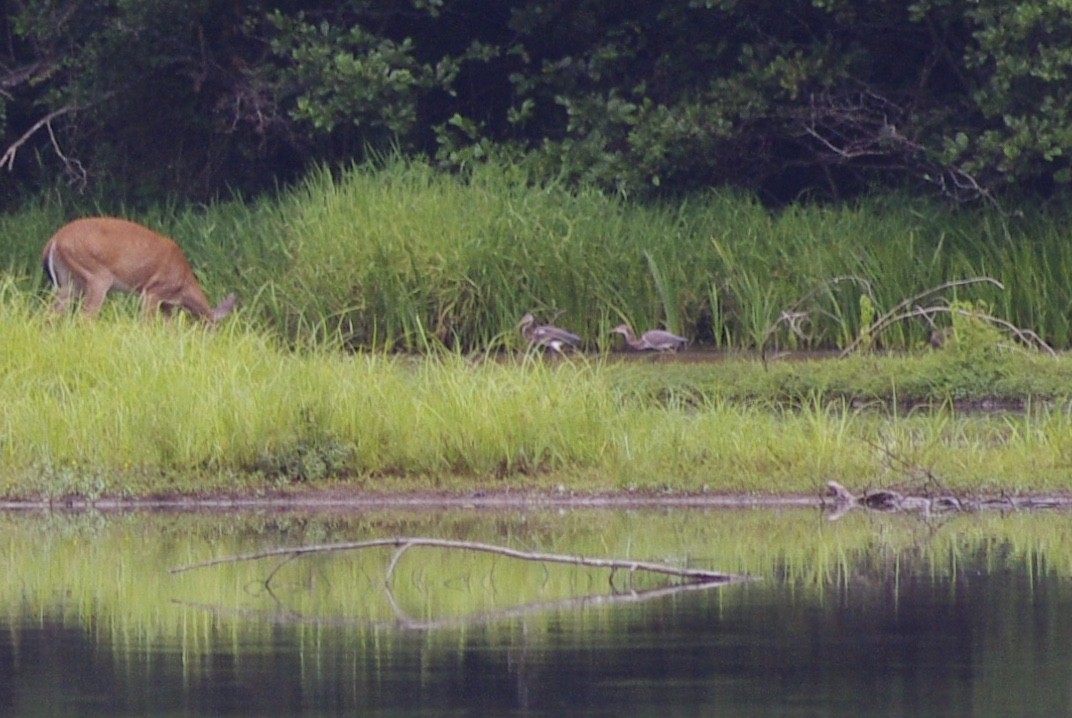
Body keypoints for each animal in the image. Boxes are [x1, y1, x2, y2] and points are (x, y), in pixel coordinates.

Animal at [43, 216, 234, 323]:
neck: (183, 283)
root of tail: (53, 240)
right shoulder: (152, 291)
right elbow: (146, 324)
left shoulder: (166, 305)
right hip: (97, 277)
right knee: (85, 318)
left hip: (69, 282)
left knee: (50, 314)